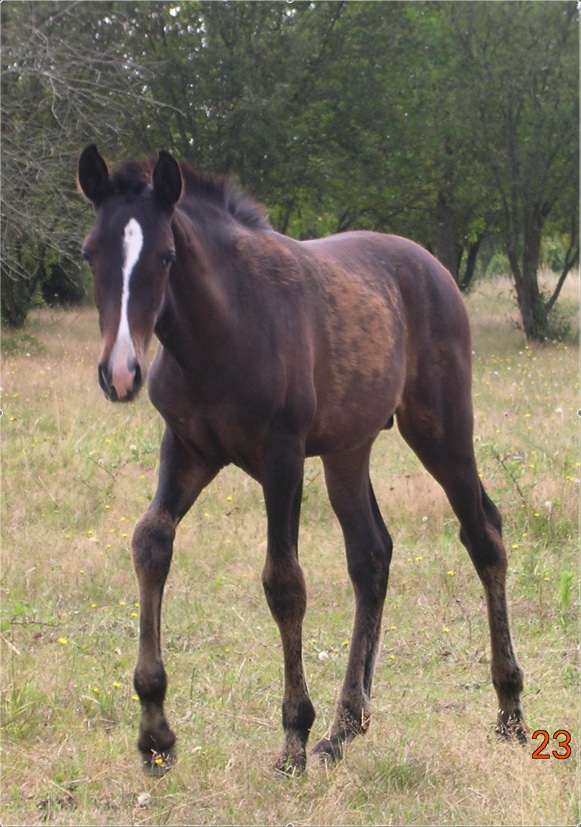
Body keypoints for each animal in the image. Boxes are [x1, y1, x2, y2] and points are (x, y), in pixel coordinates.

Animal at [76, 146, 524, 780]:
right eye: (89, 252)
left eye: (166, 256)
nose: (120, 374)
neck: (222, 330)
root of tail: (434, 268)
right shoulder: (186, 450)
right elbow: (150, 543)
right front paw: (155, 734)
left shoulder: (281, 457)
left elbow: (283, 581)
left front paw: (292, 736)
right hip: (347, 448)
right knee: (371, 555)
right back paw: (345, 728)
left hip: (441, 430)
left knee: (483, 534)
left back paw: (509, 711)